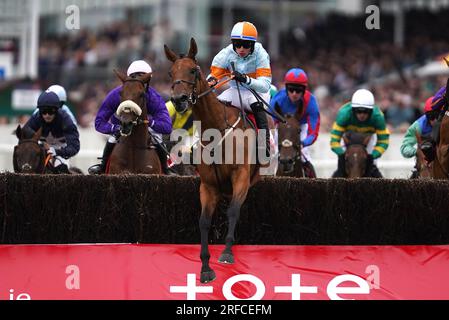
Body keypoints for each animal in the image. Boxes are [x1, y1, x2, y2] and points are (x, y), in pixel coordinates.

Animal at [164, 38, 262, 284]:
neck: (217, 130)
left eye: (192, 70)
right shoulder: (208, 185)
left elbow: (234, 211)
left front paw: (226, 253)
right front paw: (206, 267)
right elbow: (204, 221)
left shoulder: (241, 176)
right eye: (170, 73)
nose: (179, 100)